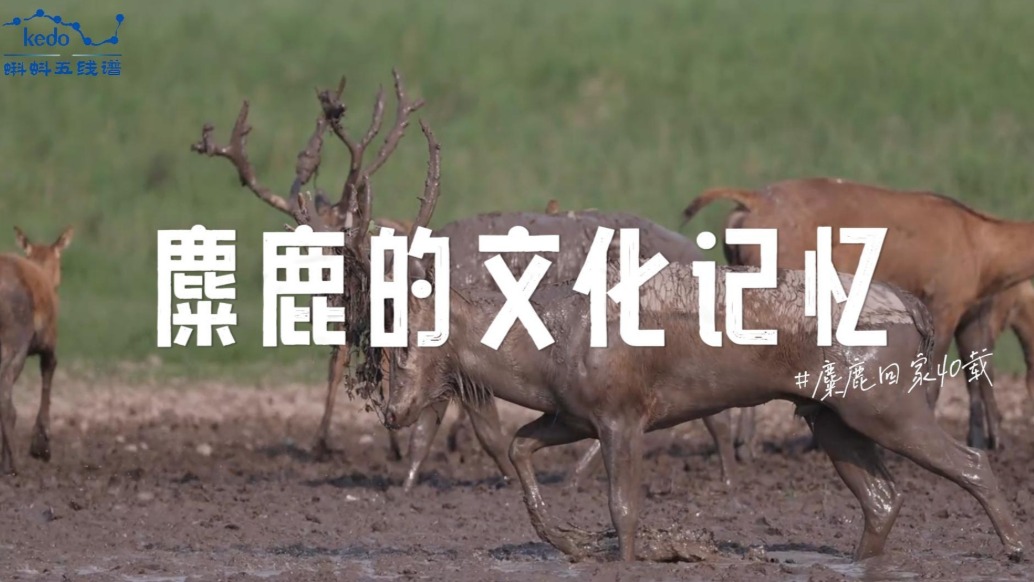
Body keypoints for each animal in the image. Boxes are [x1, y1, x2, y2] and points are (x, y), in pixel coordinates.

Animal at [0, 225, 74, 475]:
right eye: (62, 264)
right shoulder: (49, 343)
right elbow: (48, 374)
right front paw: (41, 446)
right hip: (14, 343)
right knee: (6, 401)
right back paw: (14, 465)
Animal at [192, 71, 738, 492]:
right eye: (303, 247)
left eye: (350, 250)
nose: (329, 306)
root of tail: (698, 252)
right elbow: (432, 429)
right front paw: (406, 486)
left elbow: (480, 431)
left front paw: (500, 479)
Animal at [381, 248, 1026, 563]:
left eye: (409, 338)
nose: (393, 411)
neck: (542, 350)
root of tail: (916, 313)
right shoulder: (573, 416)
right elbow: (520, 447)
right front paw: (569, 542)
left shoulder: (623, 416)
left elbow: (623, 510)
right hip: (831, 416)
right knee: (883, 500)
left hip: (884, 404)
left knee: (971, 461)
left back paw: (1015, 549)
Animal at [681, 177, 1034, 453]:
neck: (981, 244)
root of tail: (753, 200)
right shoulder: (944, 305)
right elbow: (932, 382)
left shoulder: (973, 313)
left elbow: (980, 372)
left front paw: (990, 441)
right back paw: (749, 444)